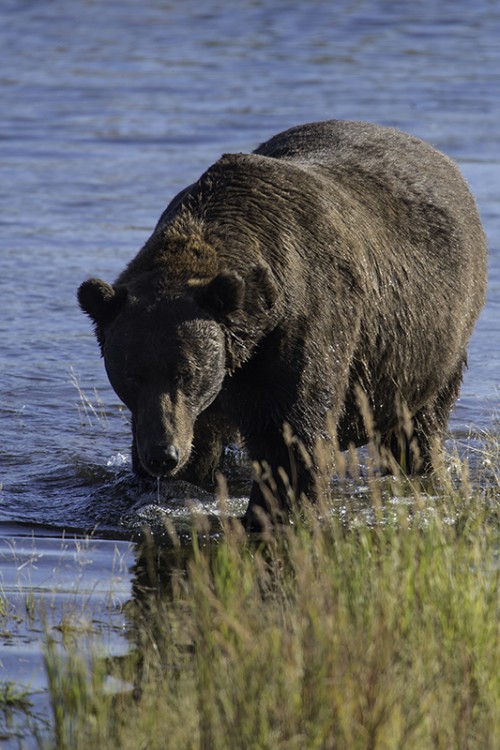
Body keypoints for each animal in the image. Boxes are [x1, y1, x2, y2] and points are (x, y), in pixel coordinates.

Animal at [79, 119, 488, 528]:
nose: (162, 456)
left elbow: (290, 433)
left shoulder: (303, 325)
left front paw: (277, 510)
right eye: (132, 374)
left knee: (417, 426)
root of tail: (440, 158)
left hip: (430, 342)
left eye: (185, 373)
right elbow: (200, 439)